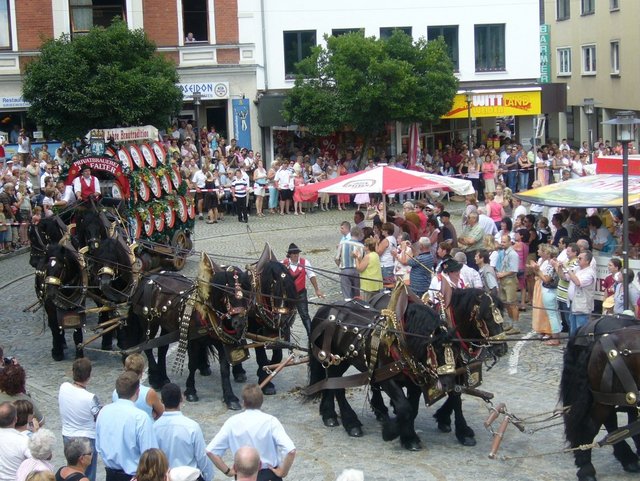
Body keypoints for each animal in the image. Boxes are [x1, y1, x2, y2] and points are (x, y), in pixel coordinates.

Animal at [308, 284, 458, 448]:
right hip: (336, 359)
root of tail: (326, 309)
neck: (400, 342)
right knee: (337, 387)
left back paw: (329, 415)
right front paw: (390, 431)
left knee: (330, 383)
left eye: (455, 349)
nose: (450, 384)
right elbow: (405, 408)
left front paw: (409, 438)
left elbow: (413, 409)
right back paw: (351, 423)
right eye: (436, 349)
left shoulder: (414, 382)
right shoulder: (387, 378)